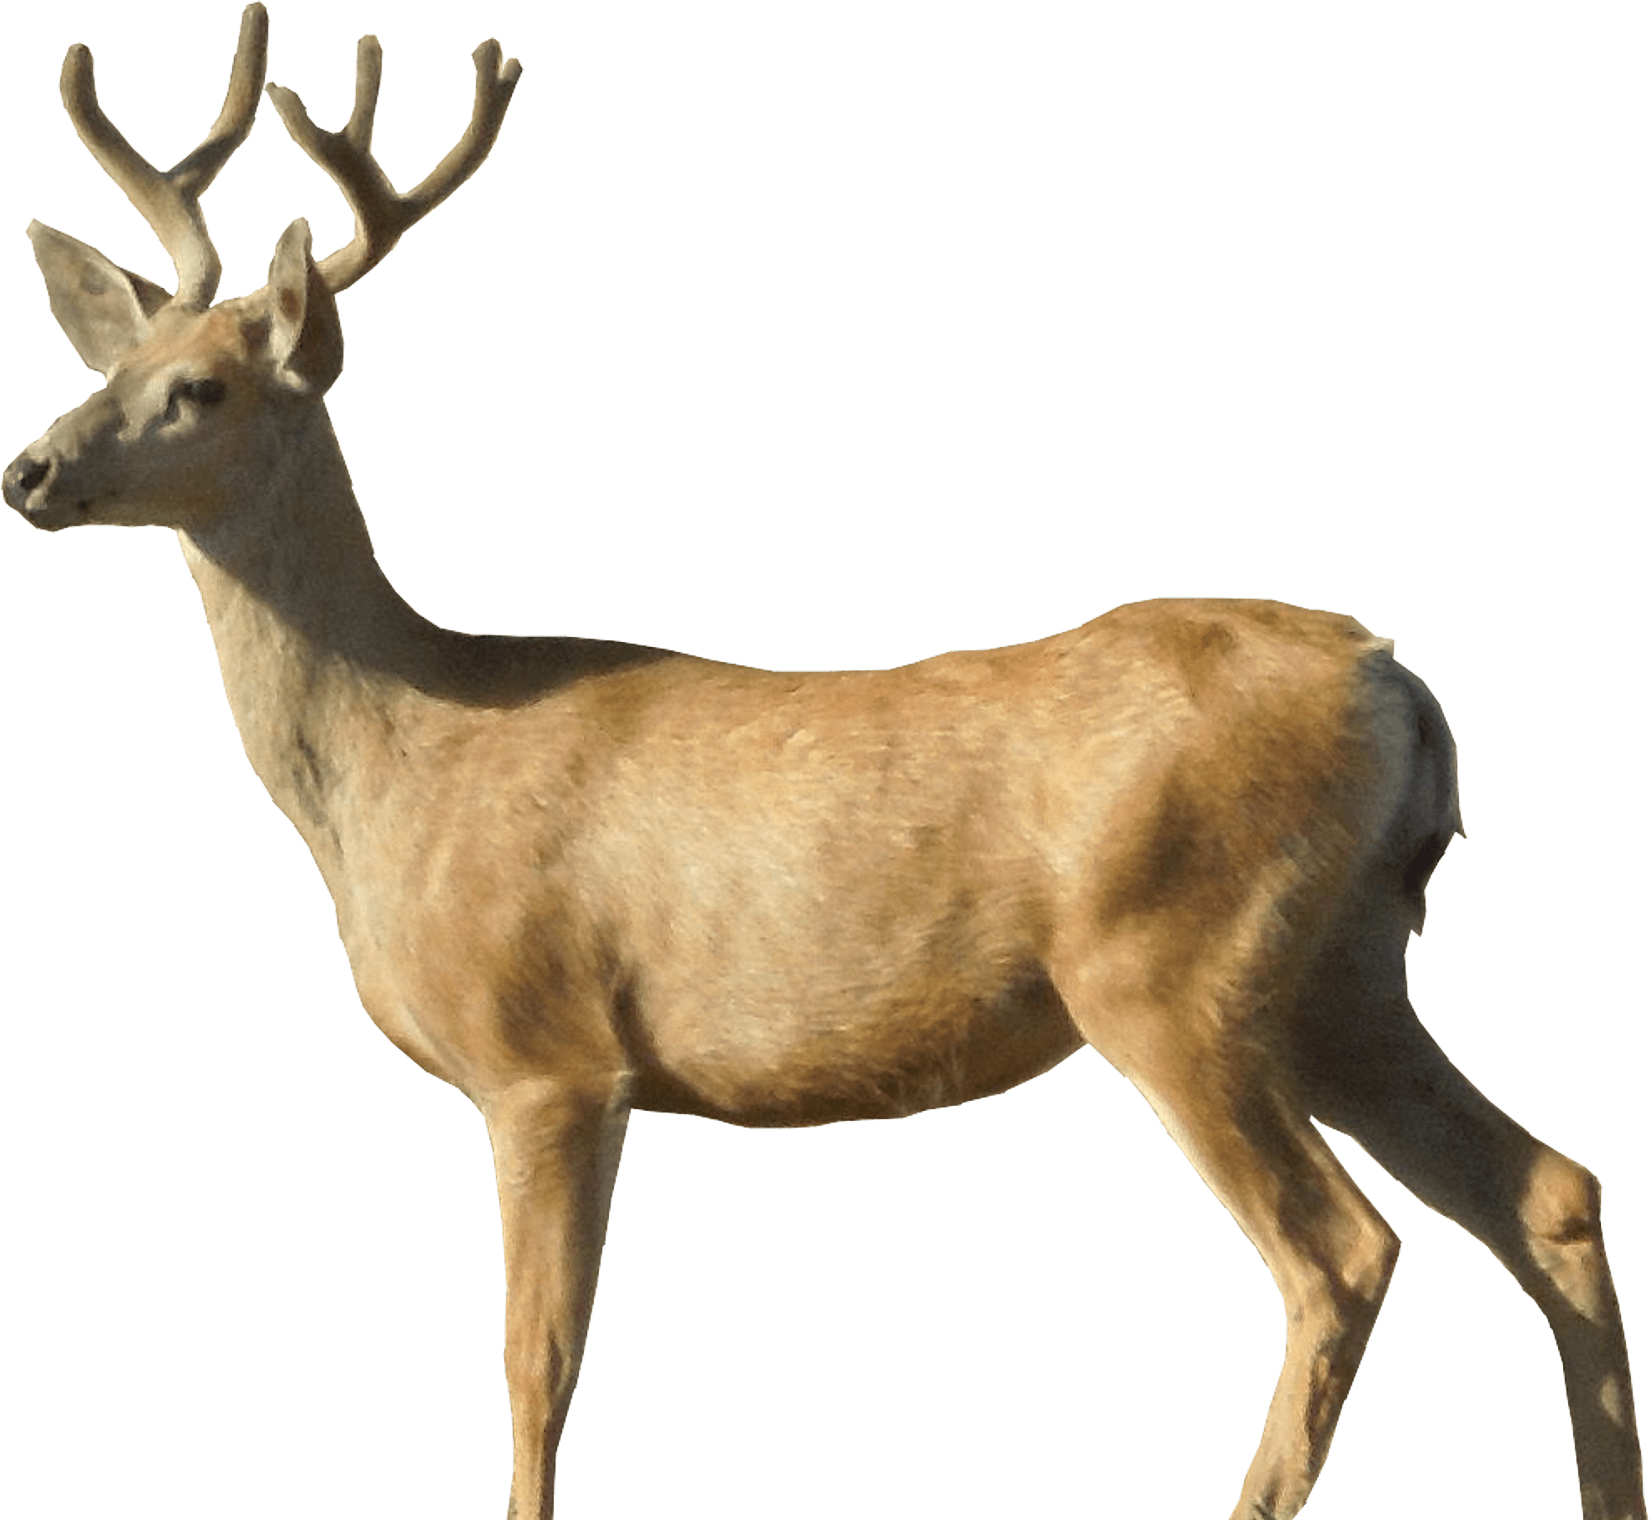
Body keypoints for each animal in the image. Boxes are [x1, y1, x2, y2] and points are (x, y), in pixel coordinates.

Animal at [2, 5, 1643, 1517]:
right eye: (111, 360)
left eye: (202, 387)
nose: (28, 468)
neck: (404, 756)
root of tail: (1394, 679)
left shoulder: (548, 1055)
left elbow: (536, 1362)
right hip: (1340, 966)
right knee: (1549, 1190)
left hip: (1174, 964)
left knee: (1342, 1253)